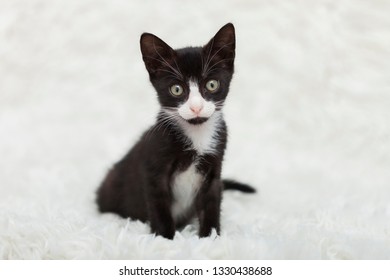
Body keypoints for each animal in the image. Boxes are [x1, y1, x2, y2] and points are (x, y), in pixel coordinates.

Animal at [97, 23, 254, 240]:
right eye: (177, 89)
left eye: (211, 84)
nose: (196, 107)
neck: (196, 133)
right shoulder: (155, 168)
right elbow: (160, 207)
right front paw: (164, 239)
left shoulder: (214, 171)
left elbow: (211, 205)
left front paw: (211, 238)